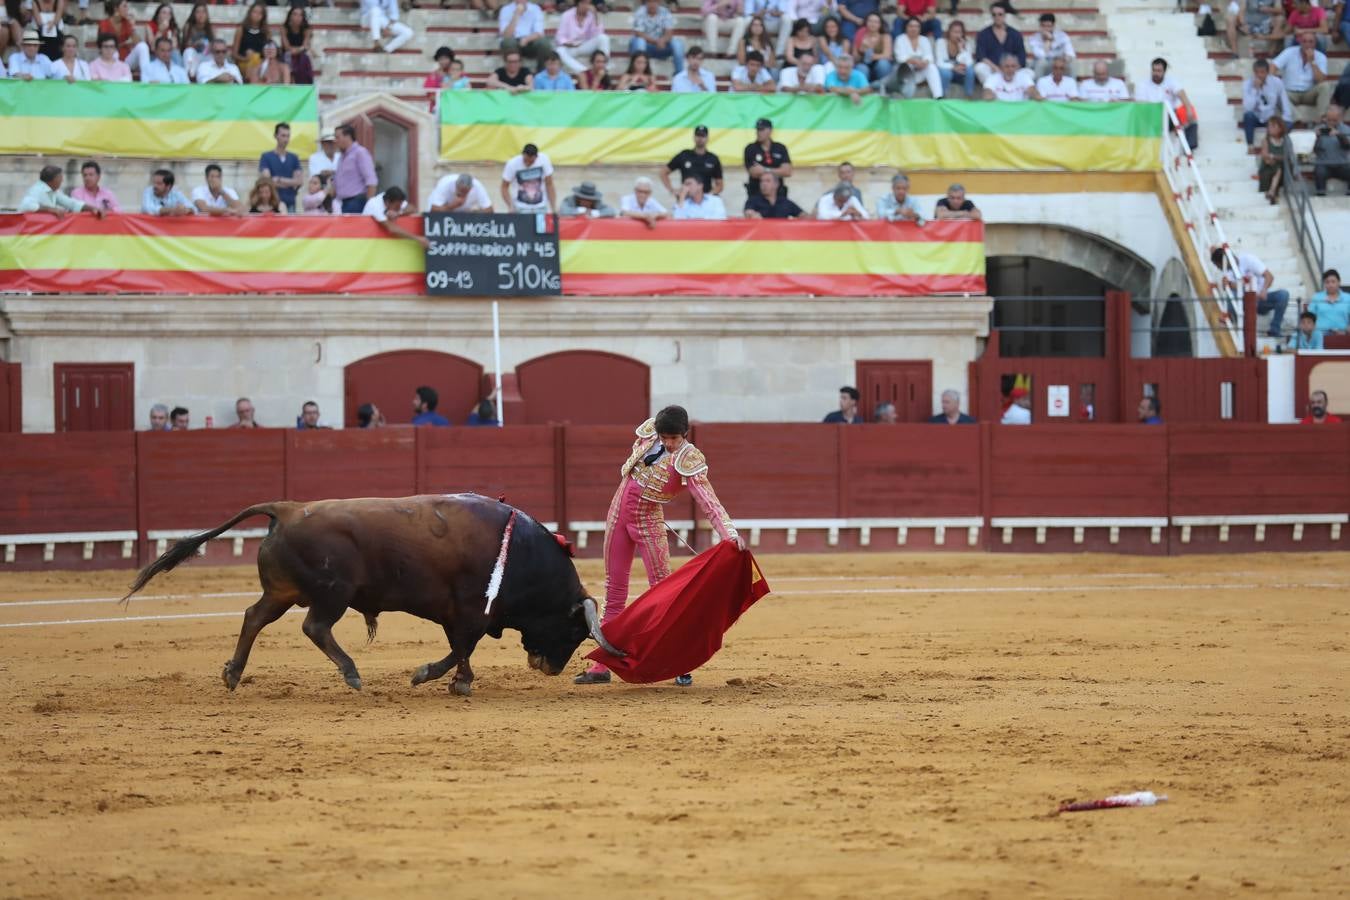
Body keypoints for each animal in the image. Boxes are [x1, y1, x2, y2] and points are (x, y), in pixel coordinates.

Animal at [118, 493, 623, 696]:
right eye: (573, 629)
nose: (550, 669)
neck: (519, 553)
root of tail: (287, 509)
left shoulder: (458, 613)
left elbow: (457, 647)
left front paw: (435, 677)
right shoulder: (468, 611)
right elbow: (462, 648)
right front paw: (451, 681)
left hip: (283, 590)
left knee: (254, 617)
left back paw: (233, 674)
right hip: (331, 593)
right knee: (314, 626)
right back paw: (352, 673)